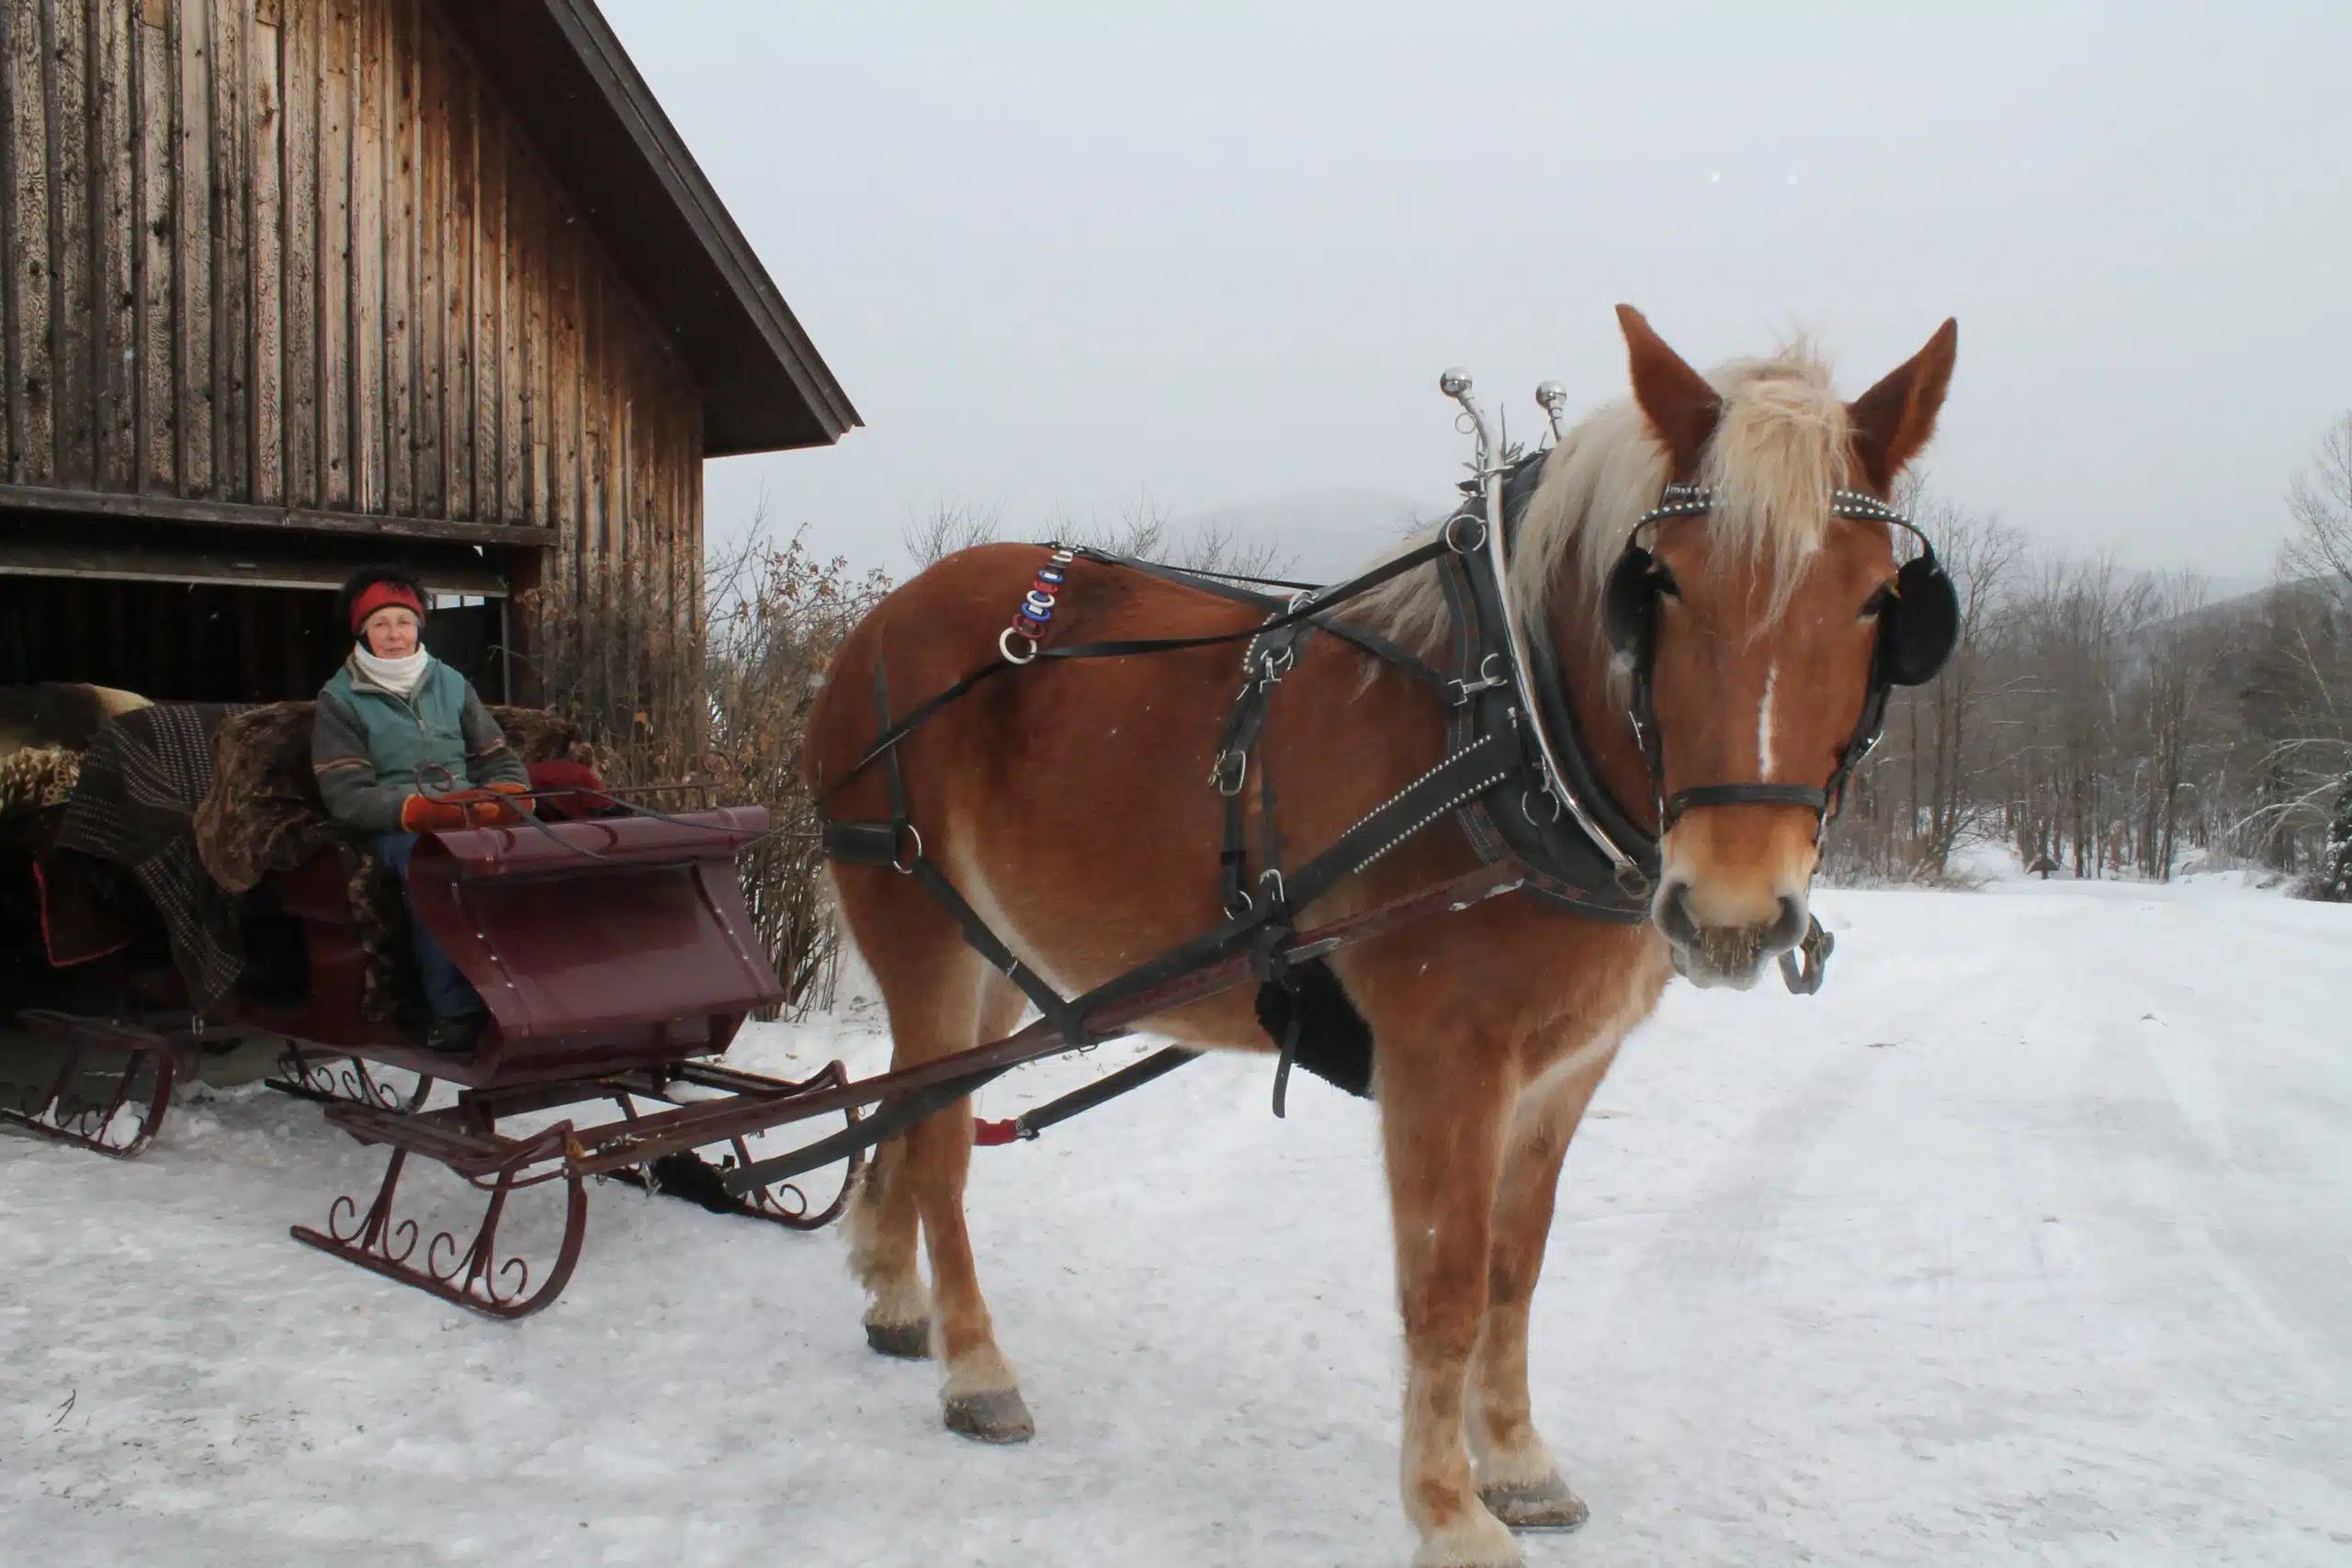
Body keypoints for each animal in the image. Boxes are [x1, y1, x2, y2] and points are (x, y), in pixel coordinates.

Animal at [804, 305, 1958, 1567]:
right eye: (1658, 581)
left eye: (1876, 599)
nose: (1734, 909)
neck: (1512, 735)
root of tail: (883, 620)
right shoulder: (1444, 1063)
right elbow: (1445, 1288)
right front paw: (1449, 1511)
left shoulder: (1564, 1070)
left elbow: (1514, 1270)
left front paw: (1518, 1462)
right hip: (913, 918)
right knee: (942, 1140)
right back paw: (974, 1366)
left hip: (997, 957)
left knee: (915, 1111)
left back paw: (893, 1291)